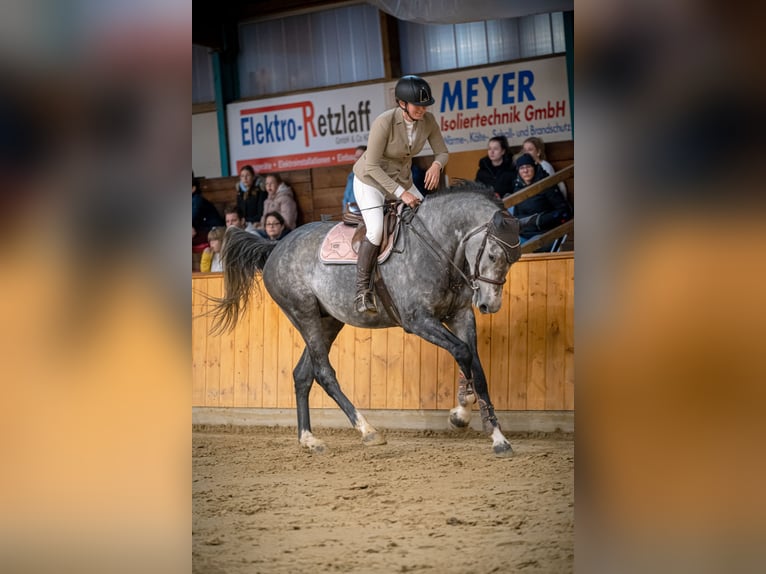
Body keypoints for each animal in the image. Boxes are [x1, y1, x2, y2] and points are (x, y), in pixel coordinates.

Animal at [210, 189, 520, 460]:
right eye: (493, 255)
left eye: (513, 260)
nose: (489, 306)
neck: (438, 247)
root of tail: (276, 245)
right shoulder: (418, 320)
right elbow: (462, 352)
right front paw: (461, 414)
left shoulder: (460, 315)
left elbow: (476, 366)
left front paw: (497, 436)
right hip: (304, 313)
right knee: (323, 372)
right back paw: (367, 430)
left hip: (328, 321)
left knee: (302, 374)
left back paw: (309, 439)